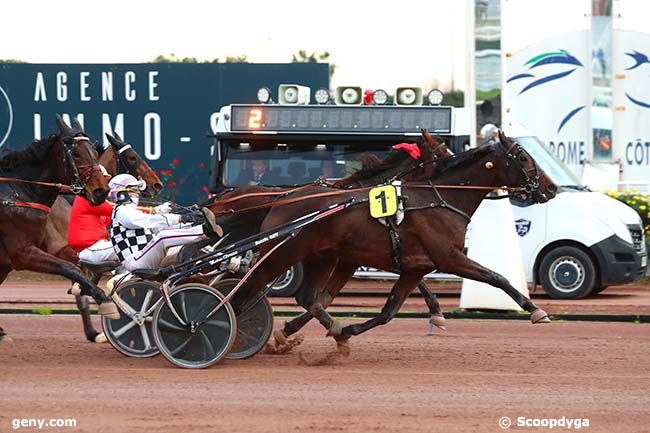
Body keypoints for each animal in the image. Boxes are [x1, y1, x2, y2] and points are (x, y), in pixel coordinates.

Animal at [0, 115, 119, 340]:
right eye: (77, 154)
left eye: (94, 152)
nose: (101, 191)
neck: (17, 195)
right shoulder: (23, 253)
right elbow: (71, 268)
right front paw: (104, 300)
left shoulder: (7, 261)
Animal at [225, 129, 556, 354]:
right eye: (523, 157)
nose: (552, 188)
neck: (439, 199)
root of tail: (279, 201)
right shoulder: (449, 258)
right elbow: (497, 277)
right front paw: (535, 310)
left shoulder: (411, 267)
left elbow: (387, 312)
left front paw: (344, 331)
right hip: (282, 255)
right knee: (246, 292)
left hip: (319, 256)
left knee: (307, 297)